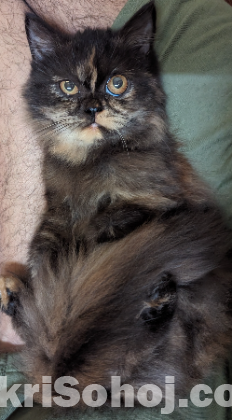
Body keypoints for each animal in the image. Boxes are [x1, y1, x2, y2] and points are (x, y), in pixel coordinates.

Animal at [0, 0, 232, 406]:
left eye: (116, 84)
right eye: (68, 86)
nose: (93, 108)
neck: (92, 161)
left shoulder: (154, 201)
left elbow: (111, 226)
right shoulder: (55, 214)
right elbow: (44, 254)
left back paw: (154, 304)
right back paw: (14, 294)